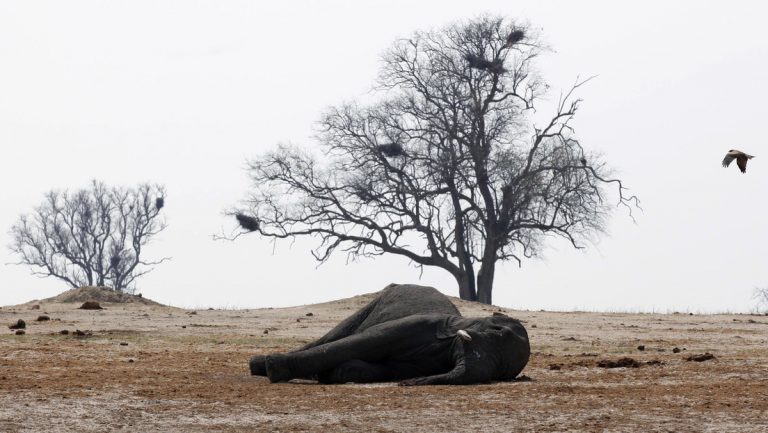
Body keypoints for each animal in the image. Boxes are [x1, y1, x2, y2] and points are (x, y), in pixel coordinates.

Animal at [248, 284, 530, 385]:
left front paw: (330, 374)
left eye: (501, 372)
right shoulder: (418, 324)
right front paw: (274, 368)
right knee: (332, 338)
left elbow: (377, 367)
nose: (409, 385)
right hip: (372, 303)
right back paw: (259, 365)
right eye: (497, 330)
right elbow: (359, 343)